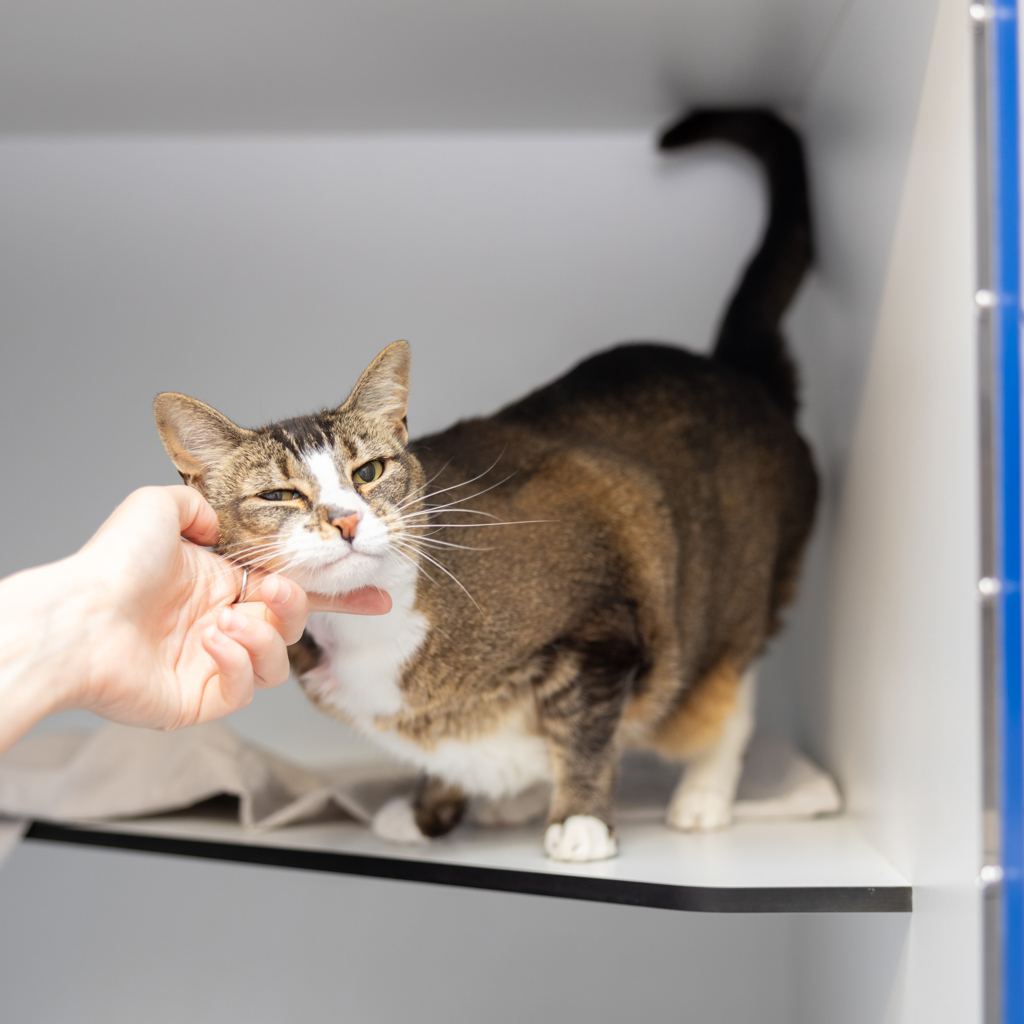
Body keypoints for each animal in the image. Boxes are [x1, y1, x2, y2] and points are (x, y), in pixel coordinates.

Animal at [154, 110, 817, 863]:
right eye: (279, 497)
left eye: (369, 471)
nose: (347, 521)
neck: (374, 625)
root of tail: (733, 370)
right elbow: (449, 751)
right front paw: (429, 811)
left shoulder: (603, 623)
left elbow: (586, 732)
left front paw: (580, 820)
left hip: (733, 596)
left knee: (727, 695)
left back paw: (701, 795)